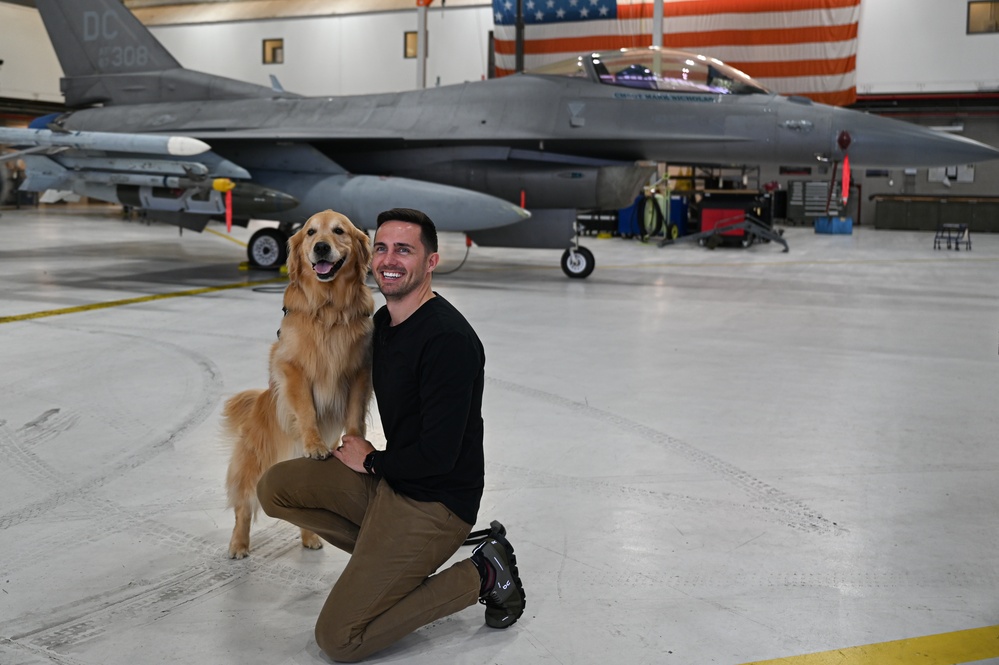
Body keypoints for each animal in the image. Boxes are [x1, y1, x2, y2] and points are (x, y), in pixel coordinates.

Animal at [223, 210, 376, 556]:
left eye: (339, 231)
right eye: (310, 232)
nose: (321, 247)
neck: (329, 308)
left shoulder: (360, 370)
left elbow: (354, 414)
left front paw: (355, 447)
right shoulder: (292, 367)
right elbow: (306, 409)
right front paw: (314, 444)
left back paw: (310, 537)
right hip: (256, 459)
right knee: (243, 505)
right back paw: (238, 544)